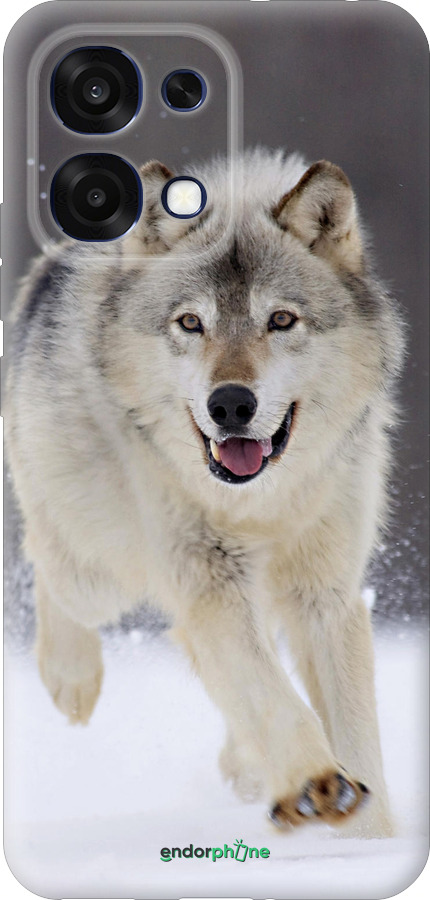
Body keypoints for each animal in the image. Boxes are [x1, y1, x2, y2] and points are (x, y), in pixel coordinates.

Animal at [5, 148, 404, 837]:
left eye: (281, 320)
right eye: (191, 322)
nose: (231, 404)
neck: (261, 503)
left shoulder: (325, 594)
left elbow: (352, 732)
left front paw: (368, 836)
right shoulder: (209, 580)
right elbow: (273, 695)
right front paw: (316, 783)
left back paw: (246, 766)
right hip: (99, 572)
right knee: (49, 564)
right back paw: (71, 680)